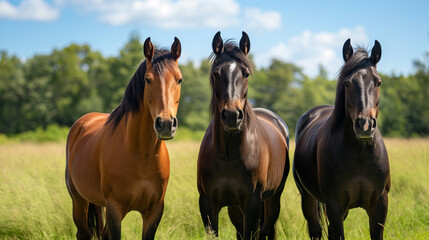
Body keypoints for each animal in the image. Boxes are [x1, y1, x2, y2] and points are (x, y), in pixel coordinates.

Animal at [65, 36, 182, 239]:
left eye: (179, 79)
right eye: (147, 80)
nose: (166, 124)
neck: (141, 155)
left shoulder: (154, 211)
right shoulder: (114, 209)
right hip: (79, 202)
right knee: (83, 233)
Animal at [196, 31, 290, 240]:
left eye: (246, 73)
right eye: (216, 73)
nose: (232, 115)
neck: (228, 155)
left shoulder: (252, 204)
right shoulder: (207, 204)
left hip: (273, 199)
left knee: (267, 230)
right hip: (236, 208)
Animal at [292, 38, 390, 239]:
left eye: (378, 82)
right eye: (347, 83)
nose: (364, 125)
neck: (360, 154)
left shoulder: (380, 205)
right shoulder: (335, 205)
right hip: (308, 199)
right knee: (316, 229)